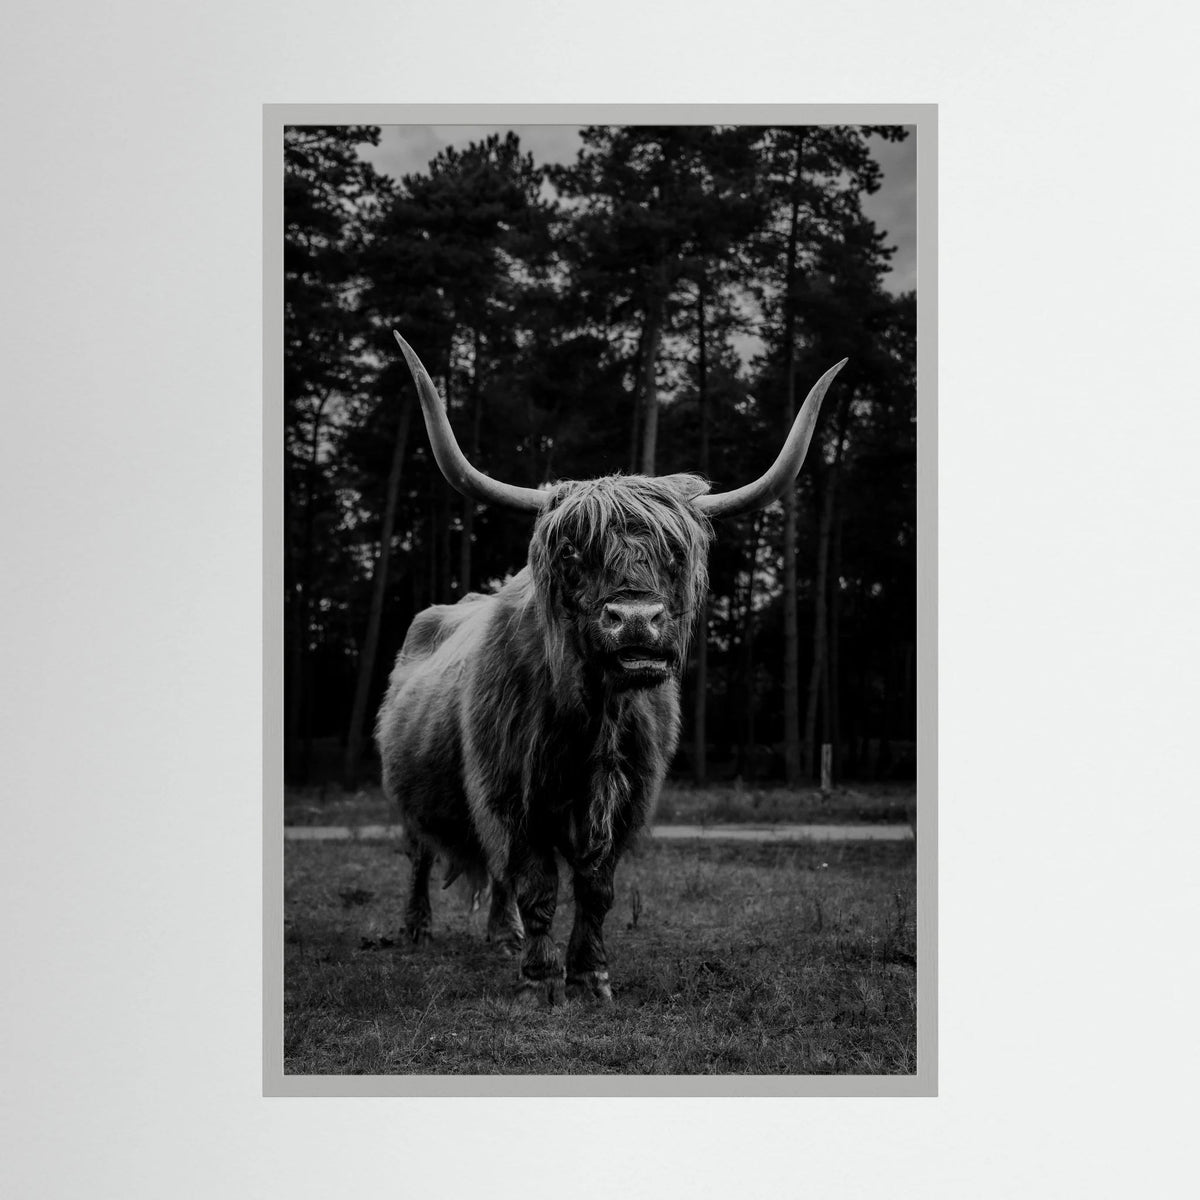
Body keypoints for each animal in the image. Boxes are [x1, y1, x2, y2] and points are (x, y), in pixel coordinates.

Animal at [375, 331, 845, 1006]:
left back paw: (503, 937)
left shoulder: (627, 800)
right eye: (574, 551)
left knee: (492, 874)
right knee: (420, 857)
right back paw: (418, 931)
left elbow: (596, 890)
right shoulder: (511, 793)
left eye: (675, 553)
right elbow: (539, 885)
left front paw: (591, 977)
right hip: (406, 790)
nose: (636, 620)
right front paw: (541, 982)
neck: (592, 718)